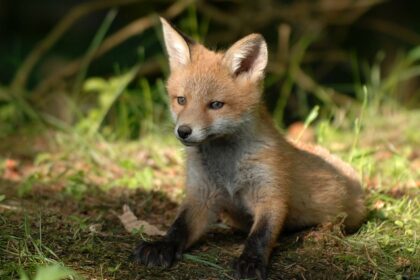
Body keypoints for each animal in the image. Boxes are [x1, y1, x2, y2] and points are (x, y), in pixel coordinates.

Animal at [133, 18, 366, 280]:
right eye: (181, 100)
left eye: (216, 105)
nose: (183, 131)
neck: (227, 167)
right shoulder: (201, 195)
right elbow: (179, 227)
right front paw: (161, 245)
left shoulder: (270, 194)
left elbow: (261, 235)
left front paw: (251, 261)